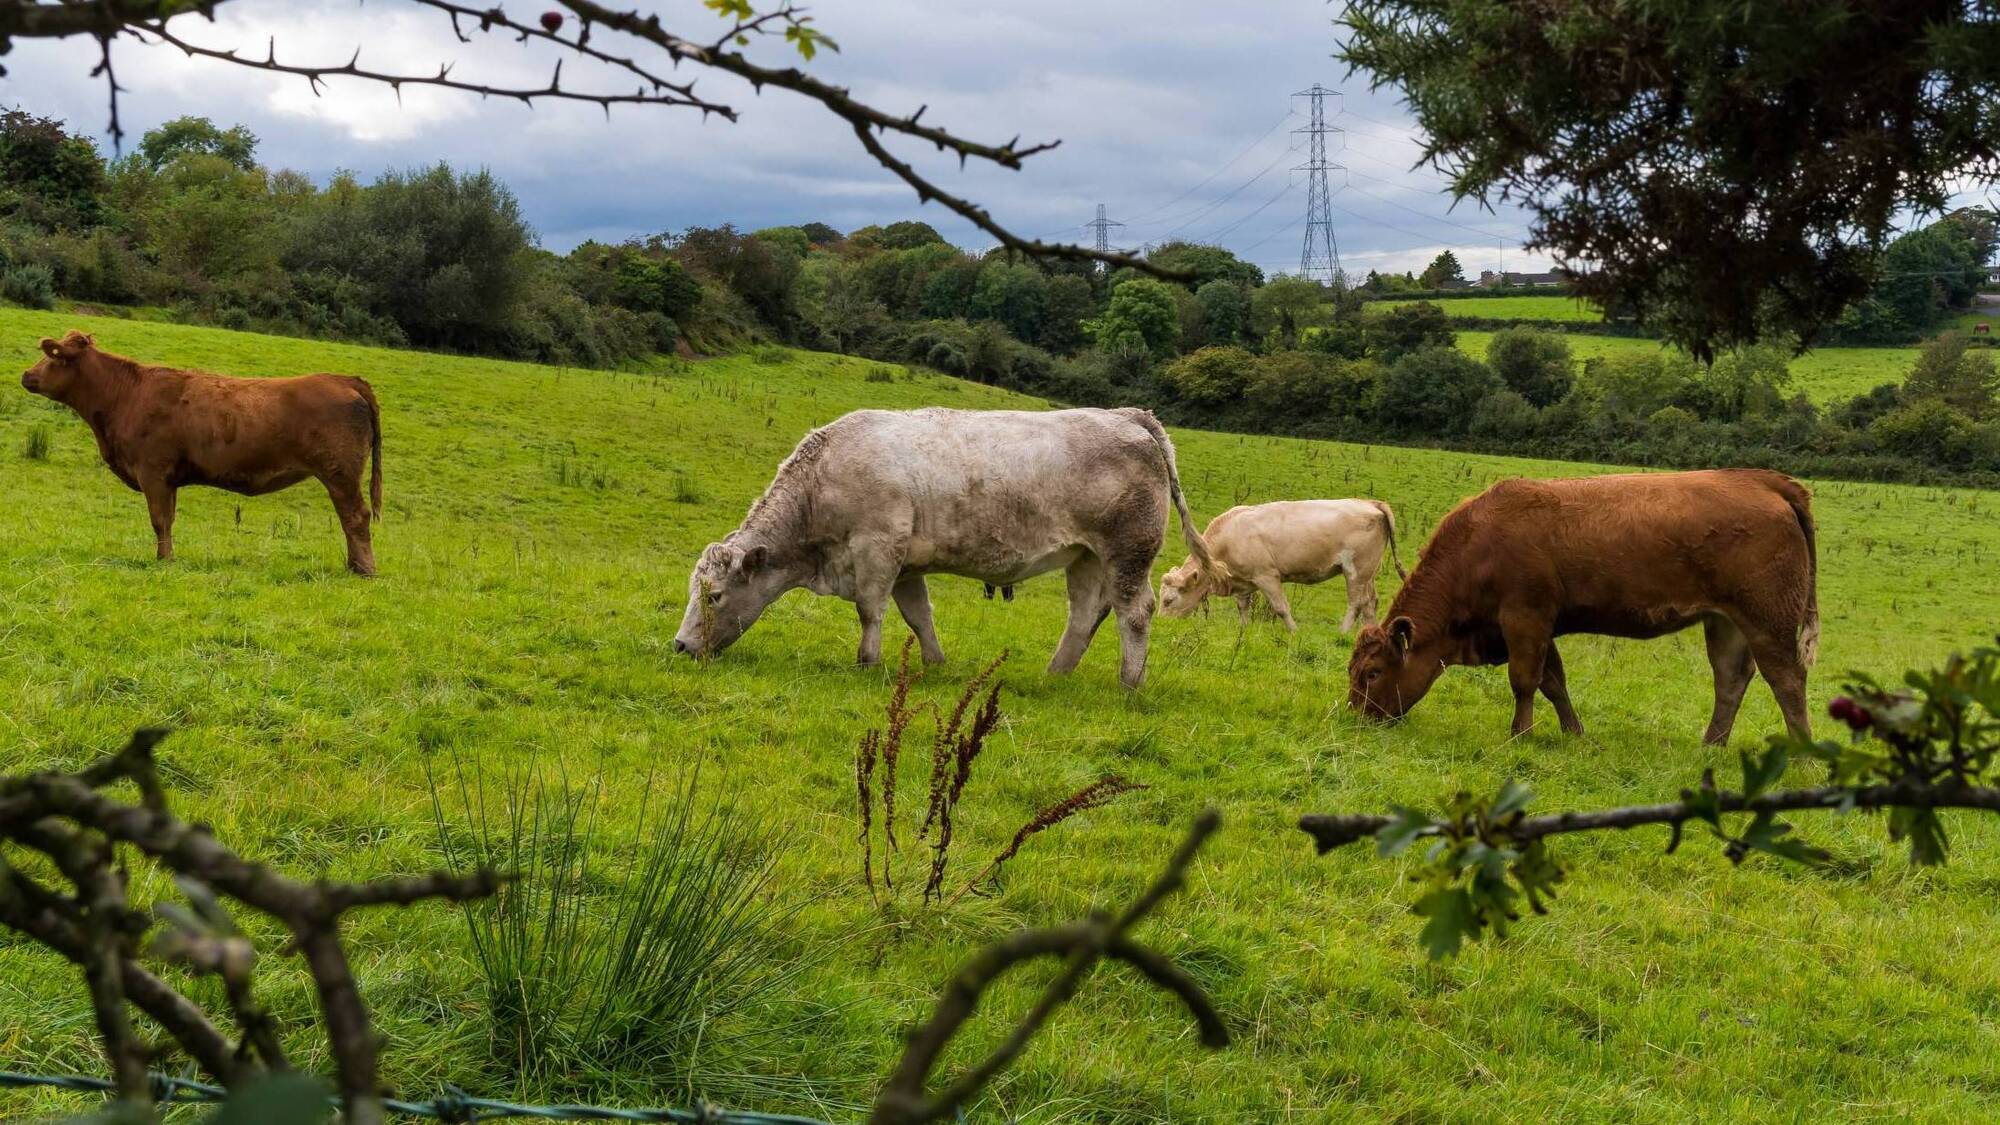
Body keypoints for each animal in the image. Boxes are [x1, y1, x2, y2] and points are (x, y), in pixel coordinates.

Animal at [20, 331, 383, 575]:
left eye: (53, 356)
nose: (26, 375)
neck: (126, 395)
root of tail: (343, 379)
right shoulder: (168, 479)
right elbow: (168, 519)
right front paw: (167, 557)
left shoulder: (153, 472)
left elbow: (159, 520)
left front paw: (164, 561)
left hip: (340, 473)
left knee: (355, 516)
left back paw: (363, 569)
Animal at [672, 406, 1209, 689]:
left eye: (714, 596)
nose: (679, 645)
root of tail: (1128, 415)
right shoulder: (906, 565)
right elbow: (918, 616)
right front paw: (934, 663)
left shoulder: (877, 548)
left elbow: (870, 610)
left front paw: (867, 663)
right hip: (1087, 557)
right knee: (1086, 614)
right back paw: (1054, 675)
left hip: (1128, 552)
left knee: (1134, 612)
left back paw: (1130, 683)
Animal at [1157, 499, 1406, 633]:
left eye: (1168, 600)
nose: (1161, 625)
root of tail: (1370, 503)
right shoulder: (1243, 580)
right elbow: (1243, 607)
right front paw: (1243, 629)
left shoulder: (1266, 576)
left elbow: (1280, 607)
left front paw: (1294, 631)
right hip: (1369, 573)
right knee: (1370, 603)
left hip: (1355, 571)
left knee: (1356, 603)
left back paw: (1343, 633)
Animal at [1347, 469, 1819, 743]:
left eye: (1372, 673)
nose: (1355, 716)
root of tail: (1762, 480)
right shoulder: (1537, 625)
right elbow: (1553, 682)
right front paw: (1573, 733)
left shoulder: (1525, 617)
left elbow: (1524, 680)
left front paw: (1520, 734)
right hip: (1726, 622)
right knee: (1731, 680)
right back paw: (1712, 745)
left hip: (1768, 619)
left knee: (1787, 681)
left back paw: (1802, 755)